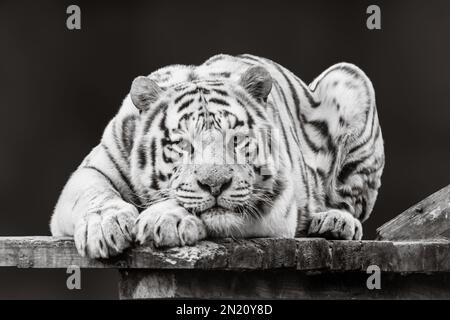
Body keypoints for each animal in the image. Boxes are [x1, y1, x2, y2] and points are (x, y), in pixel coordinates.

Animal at [51, 53, 384, 258]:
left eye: (236, 140)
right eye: (182, 144)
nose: (215, 184)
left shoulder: (275, 201)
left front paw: (164, 218)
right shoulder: (93, 170)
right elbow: (94, 195)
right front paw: (104, 226)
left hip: (351, 79)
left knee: (351, 205)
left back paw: (334, 221)